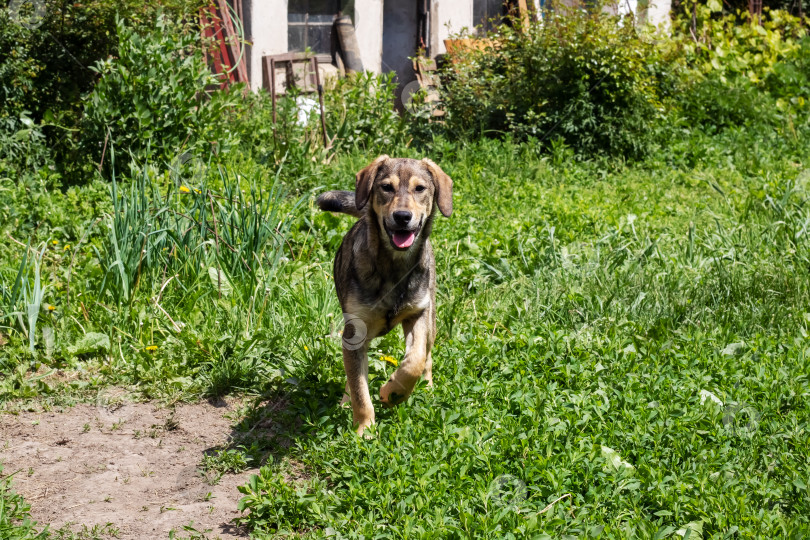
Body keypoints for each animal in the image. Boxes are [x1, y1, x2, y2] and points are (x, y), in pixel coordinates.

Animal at [316, 155, 452, 434]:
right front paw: (364, 429)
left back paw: (427, 387)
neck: (394, 267)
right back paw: (346, 402)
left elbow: (415, 360)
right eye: (386, 187)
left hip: (432, 317)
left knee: (427, 356)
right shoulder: (355, 333)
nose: (402, 216)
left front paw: (393, 392)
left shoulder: (418, 314)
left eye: (420, 188)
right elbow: (358, 386)